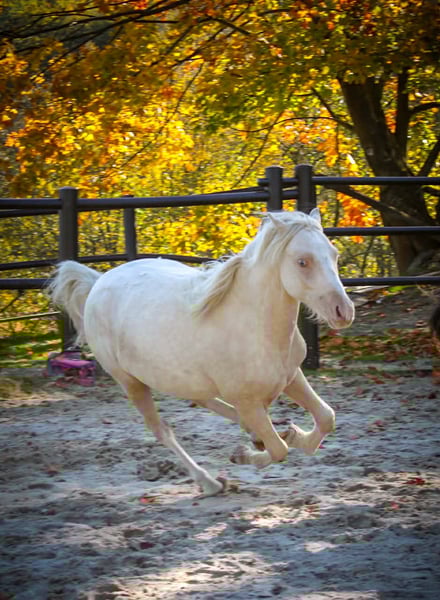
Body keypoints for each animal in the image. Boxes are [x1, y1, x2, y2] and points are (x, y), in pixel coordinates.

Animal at [49, 209, 355, 497]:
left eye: (334, 254)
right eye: (302, 261)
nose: (344, 311)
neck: (253, 325)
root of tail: (98, 282)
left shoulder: (291, 377)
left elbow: (326, 418)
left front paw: (292, 434)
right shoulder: (246, 400)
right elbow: (279, 450)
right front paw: (244, 454)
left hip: (182, 377)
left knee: (203, 400)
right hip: (131, 382)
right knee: (162, 430)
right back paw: (210, 483)